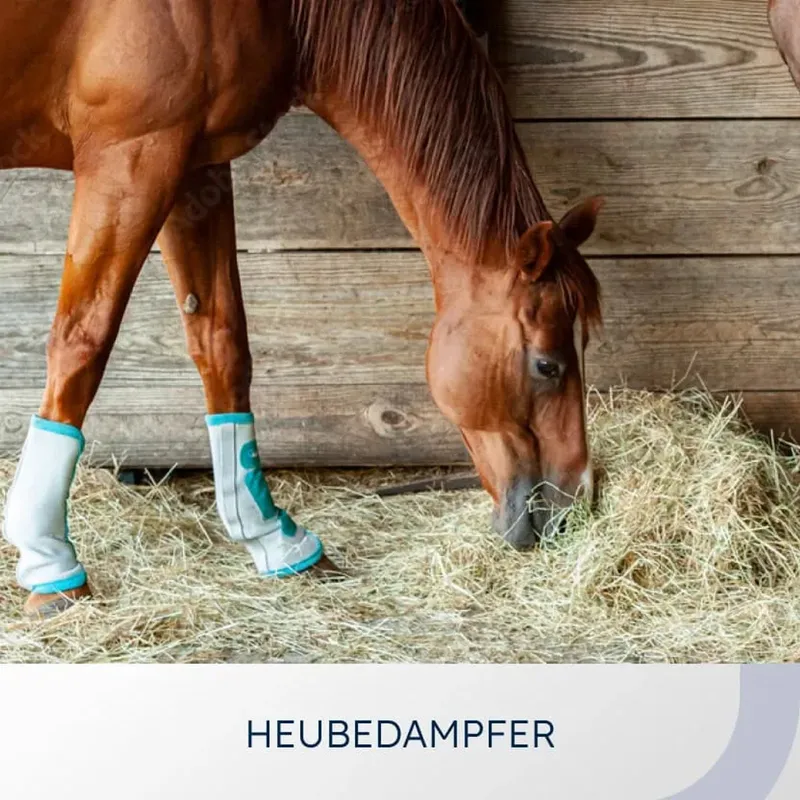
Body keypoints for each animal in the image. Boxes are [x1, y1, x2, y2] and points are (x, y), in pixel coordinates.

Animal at [0, 0, 603, 617]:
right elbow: (82, 342)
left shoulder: (192, 164)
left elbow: (222, 343)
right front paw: (50, 561)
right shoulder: (132, 158)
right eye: (547, 365)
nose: (576, 504)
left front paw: (273, 538)